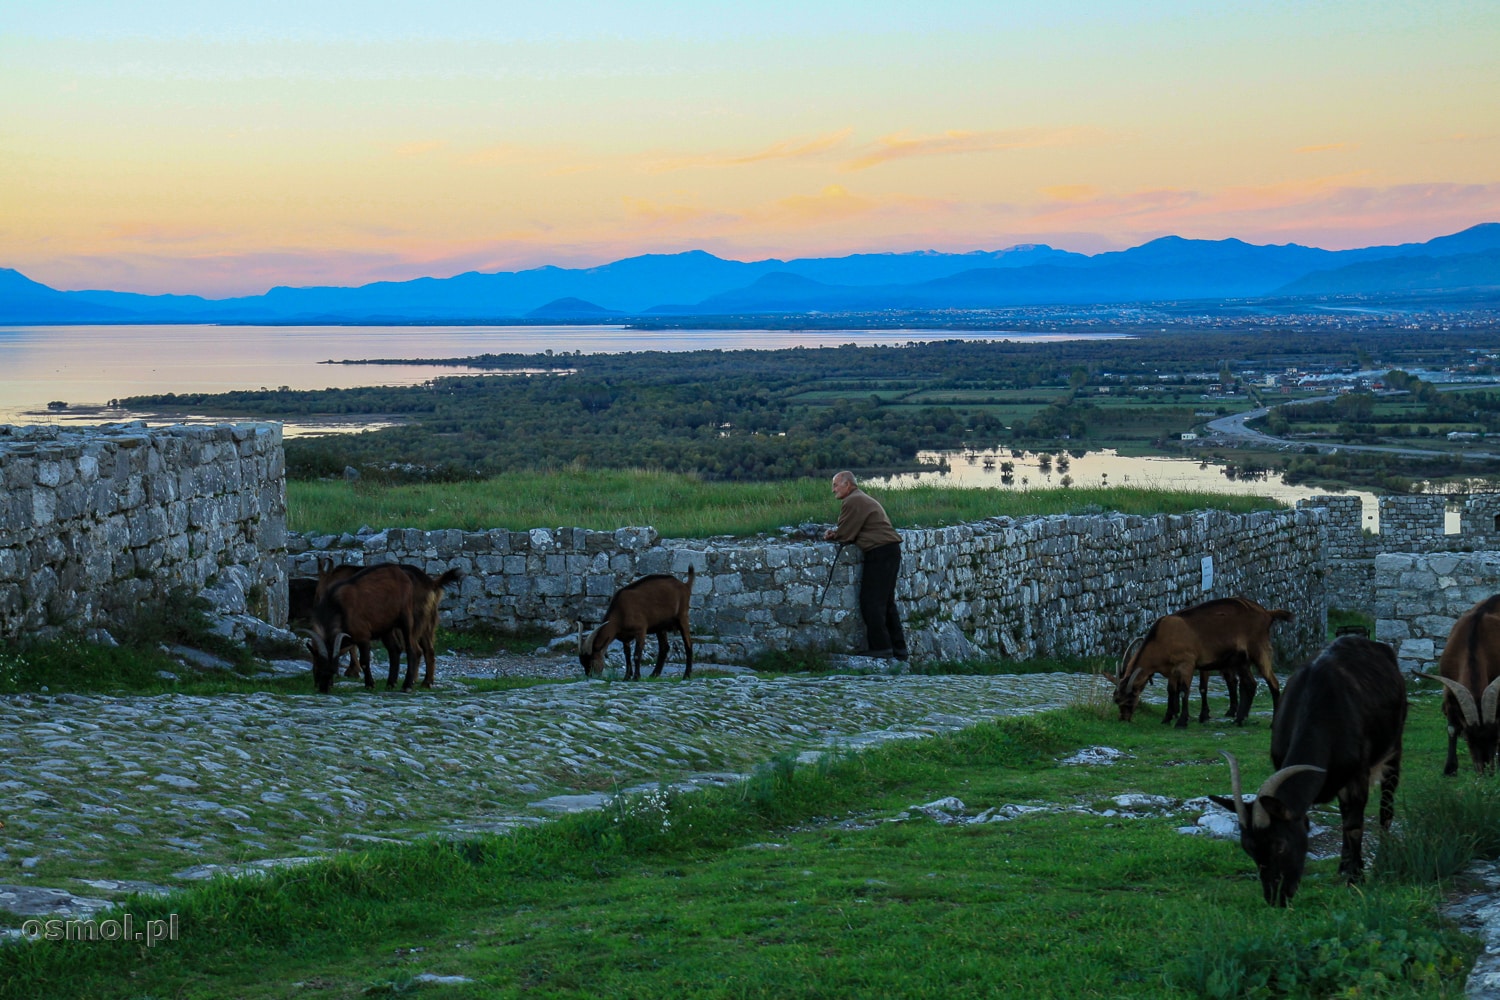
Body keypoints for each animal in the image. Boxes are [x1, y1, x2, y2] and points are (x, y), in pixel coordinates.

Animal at [306, 563, 420, 695]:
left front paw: (370, 685)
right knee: (394, 649)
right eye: (319, 666)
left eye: (333, 670)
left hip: (406, 618)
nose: (324, 689)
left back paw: (407, 685)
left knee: (411, 648)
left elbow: (364, 661)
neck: (337, 608)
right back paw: (390, 684)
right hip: (386, 627)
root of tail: (403, 574)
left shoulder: (363, 636)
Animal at [1104, 593, 1290, 728]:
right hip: (1241, 661)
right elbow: (1171, 691)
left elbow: (1184, 691)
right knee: (1250, 684)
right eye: (1117, 700)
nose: (1124, 719)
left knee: (1272, 682)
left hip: (1259, 650)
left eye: (1130, 699)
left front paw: (1182, 721)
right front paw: (1167, 718)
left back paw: (1271, 723)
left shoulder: (1187, 664)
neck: (1161, 637)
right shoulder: (1172, 669)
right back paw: (1238, 720)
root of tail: (1267, 614)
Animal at [1206, 638, 1404, 911]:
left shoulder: (1358, 775)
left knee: (1385, 806)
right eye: (1248, 849)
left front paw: (1356, 879)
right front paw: (1349, 869)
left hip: (1394, 749)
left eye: (1280, 845)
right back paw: (1343, 863)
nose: (1276, 899)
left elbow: (1355, 825)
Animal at [1416, 593, 1500, 773]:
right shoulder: (1448, 688)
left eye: (1495, 736)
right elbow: (1452, 728)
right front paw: (1450, 768)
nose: (1485, 770)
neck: (1475, 638)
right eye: (1468, 737)